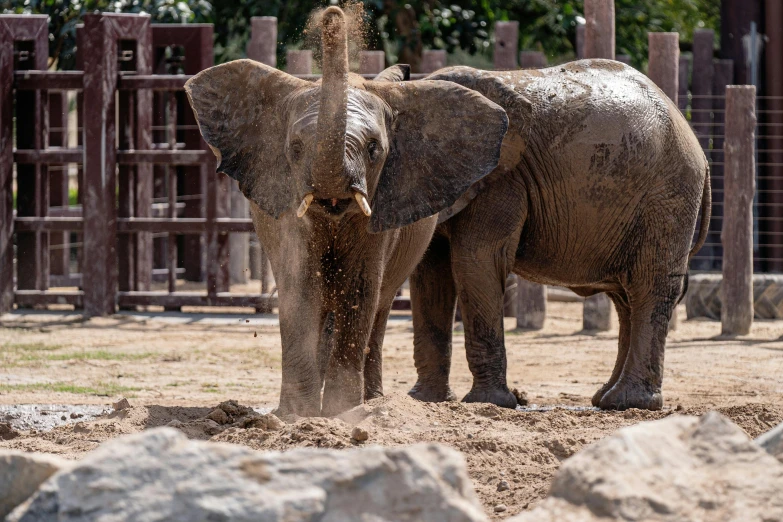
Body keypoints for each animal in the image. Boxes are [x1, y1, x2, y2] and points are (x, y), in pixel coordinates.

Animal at [186, 6, 512, 414]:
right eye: (295, 148)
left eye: (374, 148)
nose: (333, 14)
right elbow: (300, 285)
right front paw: (297, 415)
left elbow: (359, 290)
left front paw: (341, 413)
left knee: (379, 305)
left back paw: (370, 400)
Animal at [410, 61, 712, 410]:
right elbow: (430, 272)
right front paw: (425, 401)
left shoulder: (502, 181)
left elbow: (476, 260)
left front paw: (488, 403)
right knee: (626, 298)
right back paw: (606, 399)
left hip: (667, 196)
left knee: (650, 285)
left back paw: (629, 402)